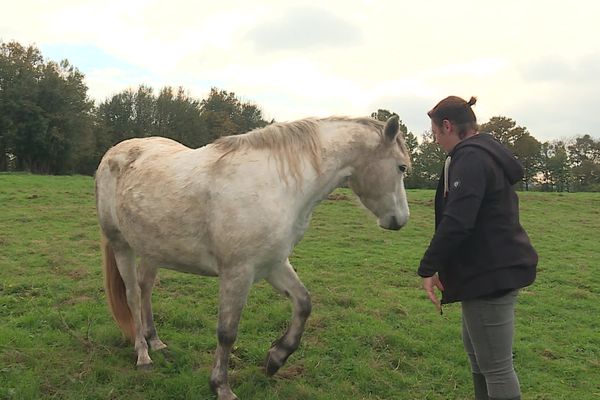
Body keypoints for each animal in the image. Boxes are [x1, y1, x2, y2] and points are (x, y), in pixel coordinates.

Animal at [95, 115, 412, 396]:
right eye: (401, 167)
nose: (400, 220)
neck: (277, 185)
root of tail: (113, 153)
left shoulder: (274, 264)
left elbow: (303, 304)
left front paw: (275, 359)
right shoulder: (237, 273)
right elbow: (227, 332)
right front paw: (221, 386)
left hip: (152, 250)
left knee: (146, 289)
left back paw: (156, 342)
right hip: (122, 246)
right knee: (133, 296)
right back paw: (143, 355)